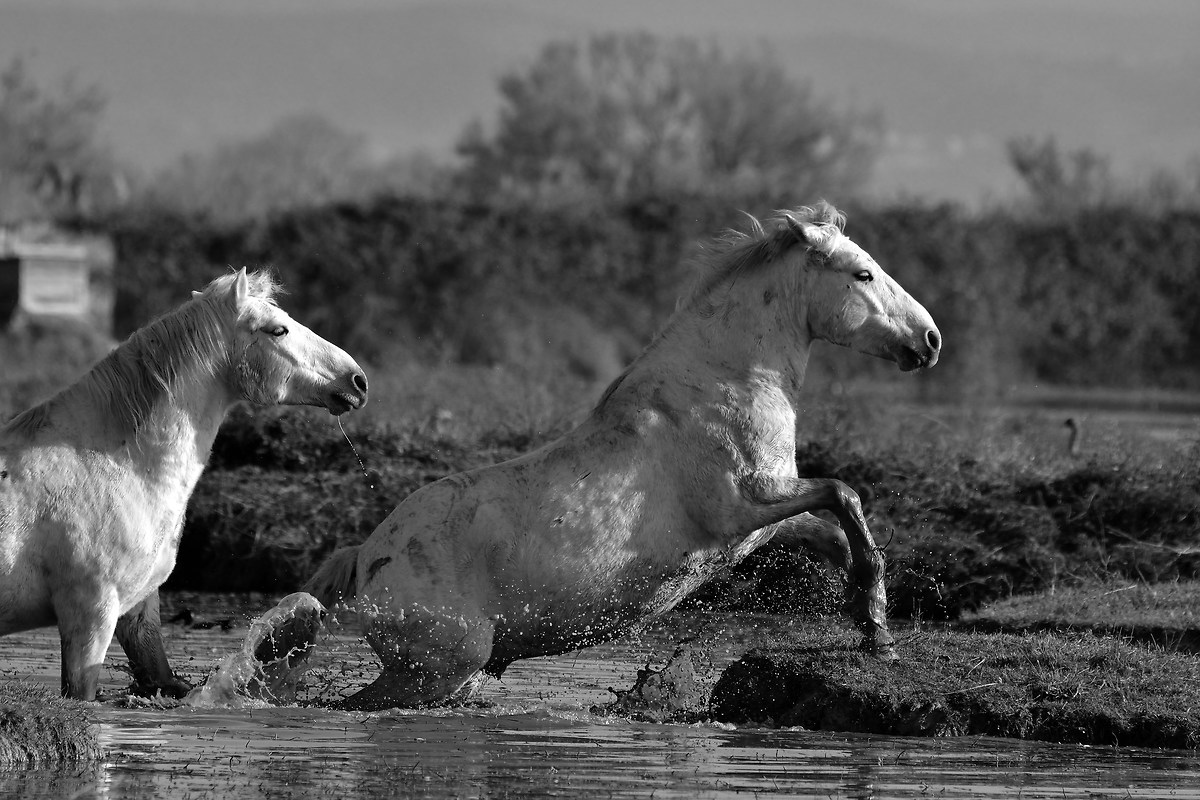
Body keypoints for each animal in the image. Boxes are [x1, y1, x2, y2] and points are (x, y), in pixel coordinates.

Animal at [0, 268, 368, 700]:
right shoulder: (89, 612)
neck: (117, 463)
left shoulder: (137, 611)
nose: (357, 380)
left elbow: (158, 674)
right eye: (278, 329)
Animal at [304, 202, 940, 710]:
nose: (930, 340)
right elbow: (844, 493)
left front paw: (869, 621)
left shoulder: (758, 522)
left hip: (455, 674)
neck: (724, 382)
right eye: (863, 273)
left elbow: (832, 532)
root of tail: (366, 558)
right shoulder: (741, 507)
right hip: (435, 670)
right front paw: (876, 624)